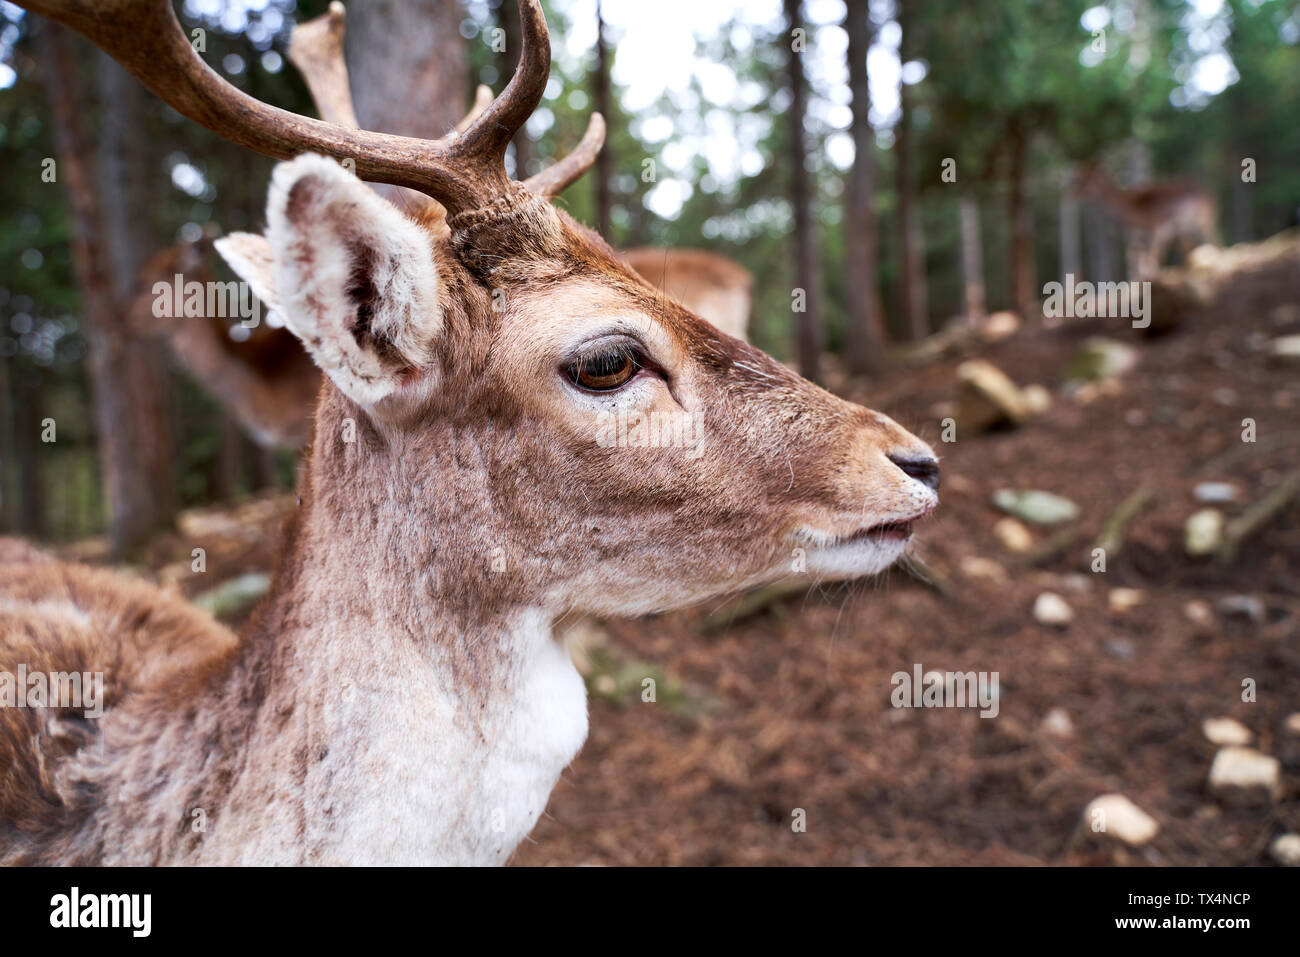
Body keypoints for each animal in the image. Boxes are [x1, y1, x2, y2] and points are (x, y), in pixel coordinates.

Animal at [1066, 160, 1216, 278]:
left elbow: (1152, 262)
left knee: (1210, 243)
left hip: (1204, 223)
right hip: (1185, 231)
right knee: (1189, 251)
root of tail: (1207, 192)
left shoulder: (1159, 230)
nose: (1068, 194)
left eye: (1078, 178)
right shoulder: (1136, 239)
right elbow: (1136, 266)